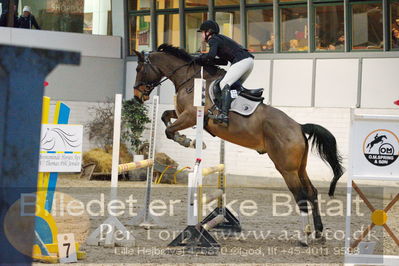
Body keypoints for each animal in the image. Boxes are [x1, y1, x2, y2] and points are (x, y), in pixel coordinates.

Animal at [132, 44, 344, 245]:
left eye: (138, 68)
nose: (136, 96)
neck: (189, 79)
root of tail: (299, 127)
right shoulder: (182, 114)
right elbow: (165, 116)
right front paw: (186, 139)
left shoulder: (191, 115)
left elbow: (169, 130)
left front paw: (187, 141)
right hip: (300, 167)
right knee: (312, 192)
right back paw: (319, 234)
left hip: (286, 168)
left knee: (301, 196)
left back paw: (303, 238)